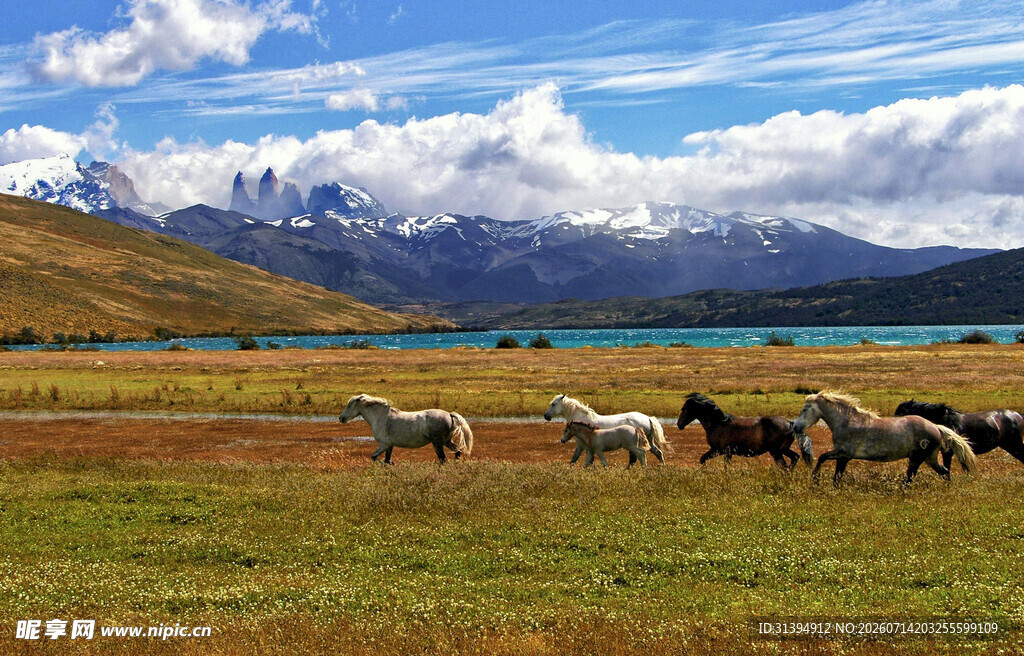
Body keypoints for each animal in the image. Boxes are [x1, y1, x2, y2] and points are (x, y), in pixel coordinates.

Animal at [339, 394, 473, 464]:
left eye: (349, 405)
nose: (341, 418)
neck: (381, 417)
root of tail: (449, 414)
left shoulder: (384, 444)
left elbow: (374, 457)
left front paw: (391, 464)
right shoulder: (389, 446)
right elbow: (386, 460)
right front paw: (391, 465)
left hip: (437, 443)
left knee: (443, 459)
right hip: (446, 441)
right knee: (457, 451)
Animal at [676, 392, 813, 469]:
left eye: (684, 409)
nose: (679, 424)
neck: (718, 423)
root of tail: (790, 423)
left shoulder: (721, 450)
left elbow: (720, 464)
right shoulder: (721, 451)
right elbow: (703, 459)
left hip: (777, 451)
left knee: (786, 464)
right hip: (782, 449)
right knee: (795, 457)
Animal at [793, 391, 975, 485]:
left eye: (805, 409)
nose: (796, 427)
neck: (847, 421)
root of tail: (936, 427)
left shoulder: (844, 453)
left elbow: (823, 458)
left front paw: (815, 478)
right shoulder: (843, 457)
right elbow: (836, 474)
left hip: (918, 458)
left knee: (911, 477)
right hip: (929, 458)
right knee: (944, 472)